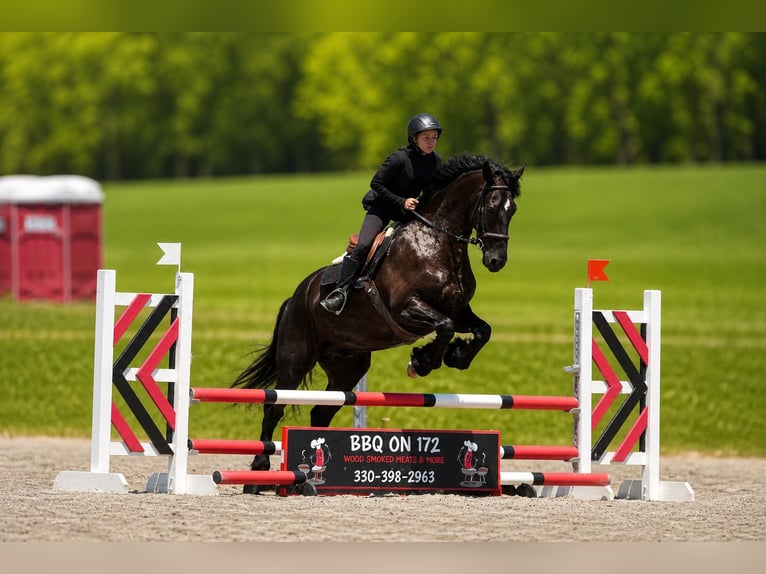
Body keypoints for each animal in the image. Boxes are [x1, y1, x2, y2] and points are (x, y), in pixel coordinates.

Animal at [232, 153, 524, 491]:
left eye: (512, 210)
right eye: (492, 205)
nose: (496, 261)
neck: (438, 243)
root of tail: (295, 297)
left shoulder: (460, 310)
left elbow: (481, 331)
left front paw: (455, 356)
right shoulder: (407, 309)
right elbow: (444, 326)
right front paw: (421, 362)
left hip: (347, 368)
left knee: (320, 411)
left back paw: (313, 479)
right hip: (295, 359)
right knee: (273, 407)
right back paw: (258, 474)